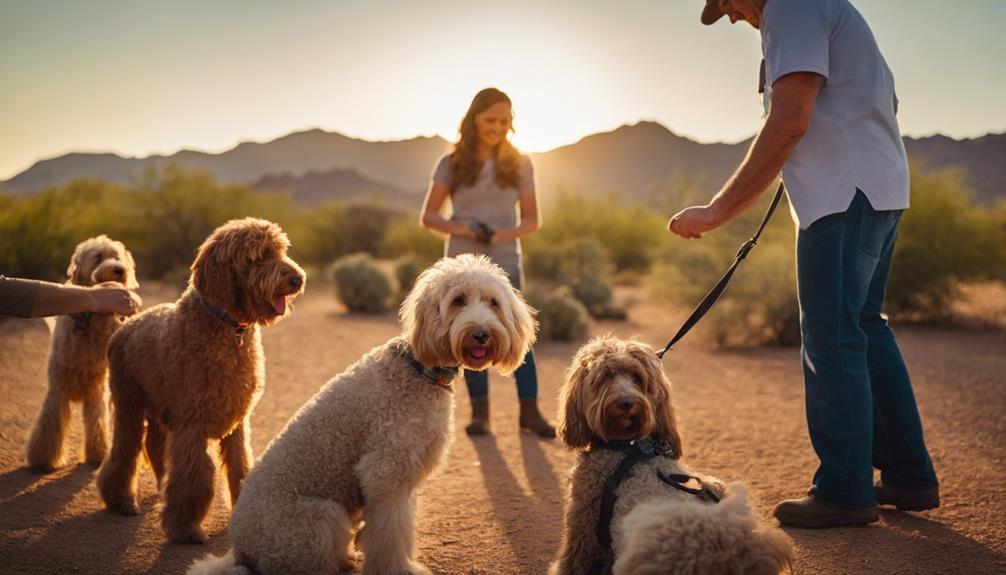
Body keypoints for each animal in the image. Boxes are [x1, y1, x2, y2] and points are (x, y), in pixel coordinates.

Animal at [25, 236, 138, 474]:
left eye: (117, 256)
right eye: (98, 257)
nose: (119, 269)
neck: (88, 321)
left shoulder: (96, 390)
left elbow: (97, 422)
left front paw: (97, 453)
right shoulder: (57, 388)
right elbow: (49, 423)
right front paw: (43, 458)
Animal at [96, 217, 303, 542]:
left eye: (282, 251)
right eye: (259, 256)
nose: (297, 279)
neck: (228, 326)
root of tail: (128, 325)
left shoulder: (237, 423)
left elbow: (240, 467)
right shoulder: (192, 425)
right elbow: (194, 478)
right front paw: (184, 528)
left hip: (159, 408)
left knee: (154, 447)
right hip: (130, 406)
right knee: (123, 453)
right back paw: (120, 501)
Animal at [189, 253, 535, 575]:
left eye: (493, 302)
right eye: (458, 300)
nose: (481, 334)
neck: (418, 369)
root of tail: (239, 551)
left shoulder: (405, 475)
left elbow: (400, 528)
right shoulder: (386, 472)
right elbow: (390, 533)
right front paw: (398, 569)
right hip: (319, 519)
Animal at [551, 333, 792, 575]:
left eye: (638, 378)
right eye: (607, 376)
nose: (627, 403)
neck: (628, 444)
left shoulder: (584, 511)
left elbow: (575, 555)